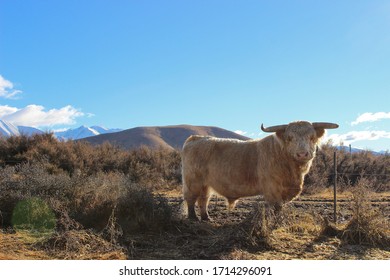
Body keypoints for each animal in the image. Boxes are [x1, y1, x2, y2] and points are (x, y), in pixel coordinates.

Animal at [182, 120, 338, 221]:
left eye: (312, 137)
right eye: (289, 138)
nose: (302, 154)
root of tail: (195, 138)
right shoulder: (273, 190)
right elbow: (276, 207)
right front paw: (275, 221)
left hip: (205, 184)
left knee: (203, 199)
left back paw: (206, 218)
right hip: (193, 181)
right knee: (191, 198)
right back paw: (193, 218)